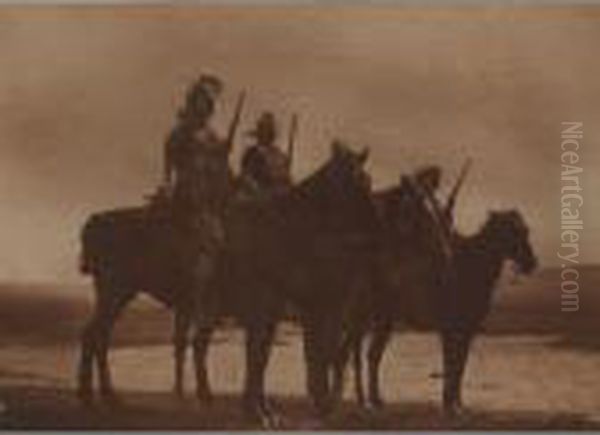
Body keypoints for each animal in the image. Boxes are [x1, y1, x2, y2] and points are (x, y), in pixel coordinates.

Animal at [336, 208, 536, 416]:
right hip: (363, 320)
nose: (531, 263)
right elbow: (450, 364)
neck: (470, 268)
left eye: (526, 231)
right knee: (352, 354)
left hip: (383, 322)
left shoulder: (467, 331)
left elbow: (460, 366)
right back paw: (358, 400)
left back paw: (373, 400)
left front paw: (458, 404)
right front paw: (448, 405)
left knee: (370, 356)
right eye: (512, 232)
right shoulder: (448, 329)